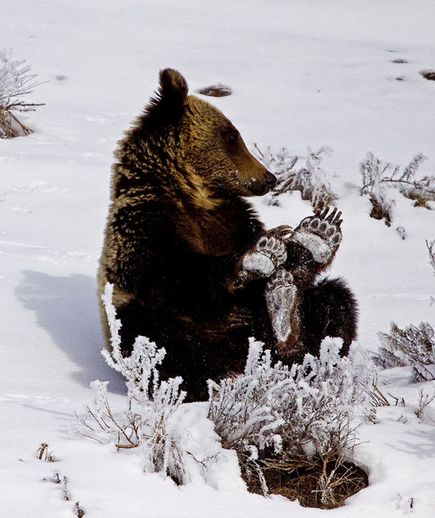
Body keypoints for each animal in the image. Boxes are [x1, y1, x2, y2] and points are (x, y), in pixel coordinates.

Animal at [99, 68, 358, 402]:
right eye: (232, 137)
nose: (269, 177)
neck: (192, 196)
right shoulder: (144, 230)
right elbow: (180, 276)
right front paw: (257, 257)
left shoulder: (233, 221)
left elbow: (292, 270)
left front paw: (311, 239)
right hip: (157, 325)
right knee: (161, 341)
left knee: (334, 302)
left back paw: (288, 323)